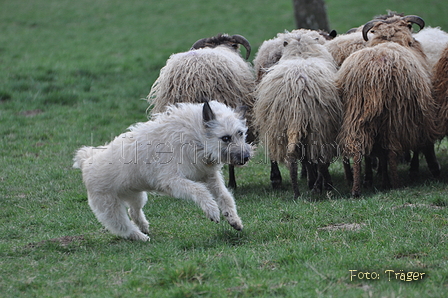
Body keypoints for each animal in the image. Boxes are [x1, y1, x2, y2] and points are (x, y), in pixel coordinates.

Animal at [72, 101, 250, 241]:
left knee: (134, 211)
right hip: (110, 210)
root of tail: (86, 160)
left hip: (136, 195)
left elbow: (225, 196)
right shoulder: (171, 180)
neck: (195, 138)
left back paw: (144, 227)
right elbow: (199, 191)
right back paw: (141, 237)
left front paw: (233, 218)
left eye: (240, 133)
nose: (246, 157)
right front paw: (212, 210)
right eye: (225, 138)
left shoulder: (209, 176)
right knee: (124, 228)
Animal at [252, 30, 344, 198]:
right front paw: (320, 182)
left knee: (290, 157)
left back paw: (296, 191)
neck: (301, 53)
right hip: (319, 126)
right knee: (321, 159)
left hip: (279, 126)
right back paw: (318, 186)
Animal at [338, 15, 440, 198]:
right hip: (393, 116)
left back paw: (357, 189)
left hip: (356, 115)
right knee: (391, 150)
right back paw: (396, 184)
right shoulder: (417, 116)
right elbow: (417, 146)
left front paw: (378, 179)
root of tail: (373, 70)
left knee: (358, 150)